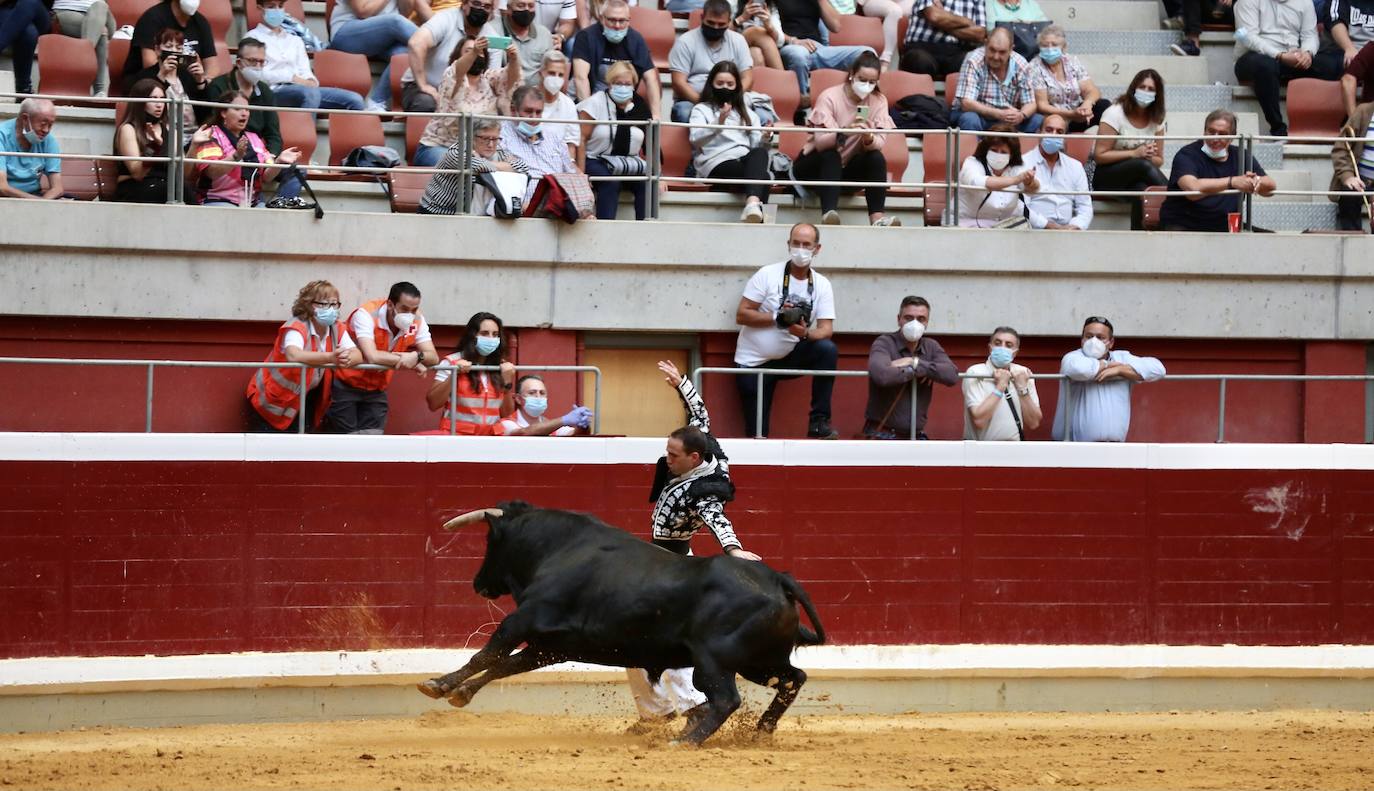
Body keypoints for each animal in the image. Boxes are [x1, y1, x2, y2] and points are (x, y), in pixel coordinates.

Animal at [414, 502, 824, 747]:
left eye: (491, 542)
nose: (478, 583)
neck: (559, 549)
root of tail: (778, 579)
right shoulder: (552, 648)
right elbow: (505, 666)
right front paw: (461, 693)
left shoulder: (522, 621)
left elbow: (486, 655)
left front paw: (439, 684)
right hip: (758, 661)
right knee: (793, 679)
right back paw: (761, 731)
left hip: (714, 661)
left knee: (726, 699)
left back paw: (685, 741)